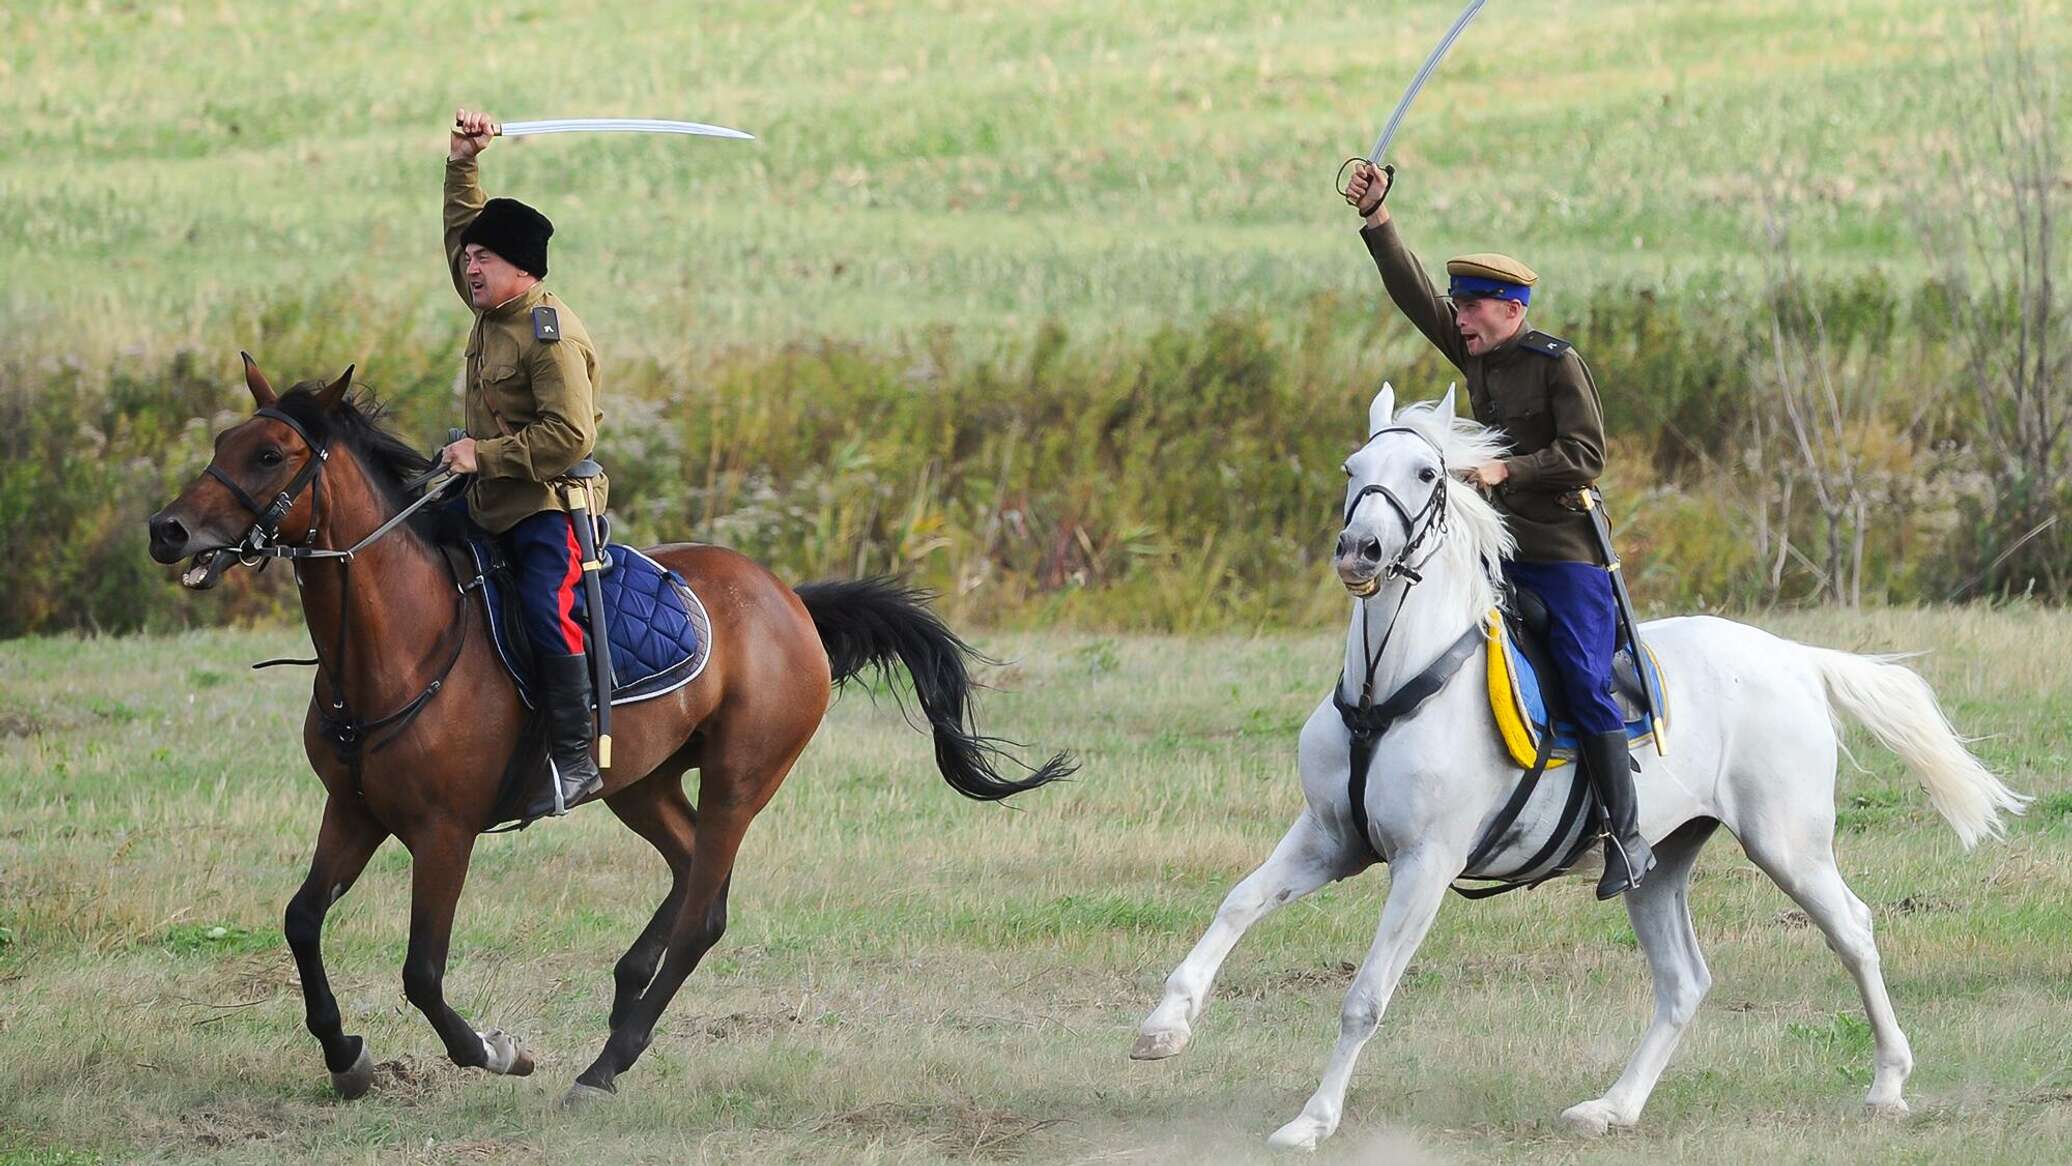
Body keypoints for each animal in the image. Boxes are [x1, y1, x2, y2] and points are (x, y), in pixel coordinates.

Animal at [150, 360, 1069, 1110]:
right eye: (225, 442)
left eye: (271, 455)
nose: (168, 531)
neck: (398, 642)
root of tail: (790, 602)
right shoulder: (353, 811)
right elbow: (302, 921)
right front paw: (347, 1058)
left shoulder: (444, 833)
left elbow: (422, 971)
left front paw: (498, 1051)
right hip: (641, 781)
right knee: (691, 868)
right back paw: (626, 999)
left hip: (740, 779)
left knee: (703, 913)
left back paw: (604, 1065)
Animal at [1127, 385, 2030, 1151]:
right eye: (1353, 469)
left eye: (1426, 473)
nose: (1360, 551)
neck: (1394, 684)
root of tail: (1795, 658)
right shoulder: (1328, 840)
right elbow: (1239, 904)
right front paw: (1164, 1028)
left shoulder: (1424, 864)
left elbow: (1366, 997)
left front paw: (1311, 1122)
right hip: (1660, 862)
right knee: (1683, 981)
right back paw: (1612, 1108)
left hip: (1789, 844)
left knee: (1854, 932)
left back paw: (1887, 1086)